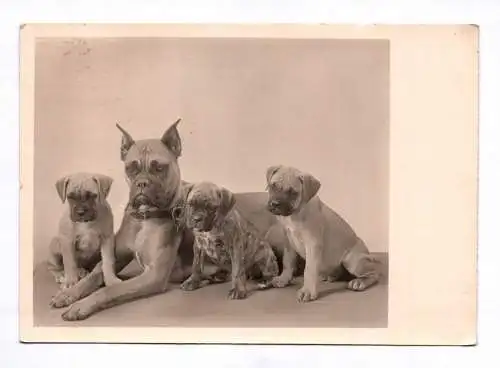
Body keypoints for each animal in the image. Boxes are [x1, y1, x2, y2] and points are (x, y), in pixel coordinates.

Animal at [266, 165, 378, 302]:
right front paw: (283, 279)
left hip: (353, 261)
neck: (296, 213)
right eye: (273, 186)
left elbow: (309, 270)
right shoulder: (289, 242)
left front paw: (308, 291)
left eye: (292, 192)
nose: (275, 204)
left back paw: (359, 282)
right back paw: (331, 275)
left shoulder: (312, 244)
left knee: (374, 273)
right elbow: (288, 261)